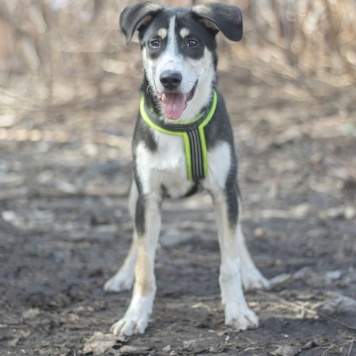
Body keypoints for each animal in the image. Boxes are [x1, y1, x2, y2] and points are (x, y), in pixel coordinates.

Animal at [103, 1, 270, 336]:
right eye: (154, 43)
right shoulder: (148, 197)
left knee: (238, 237)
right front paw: (134, 315)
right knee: (136, 240)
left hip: (234, 190)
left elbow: (229, 261)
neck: (182, 126)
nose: (170, 79)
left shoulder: (223, 193)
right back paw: (122, 275)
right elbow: (144, 265)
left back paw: (251, 273)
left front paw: (238, 309)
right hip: (133, 194)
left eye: (192, 42)